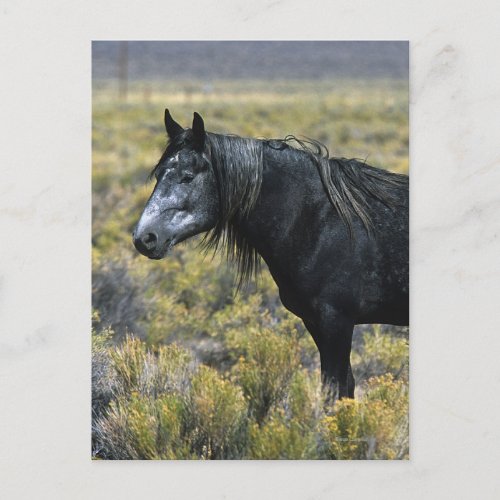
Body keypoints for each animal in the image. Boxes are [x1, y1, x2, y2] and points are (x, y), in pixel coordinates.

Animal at [133, 109, 410, 398]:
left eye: (187, 176)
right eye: (158, 175)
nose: (144, 238)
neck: (321, 220)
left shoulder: (337, 322)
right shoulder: (315, 323)